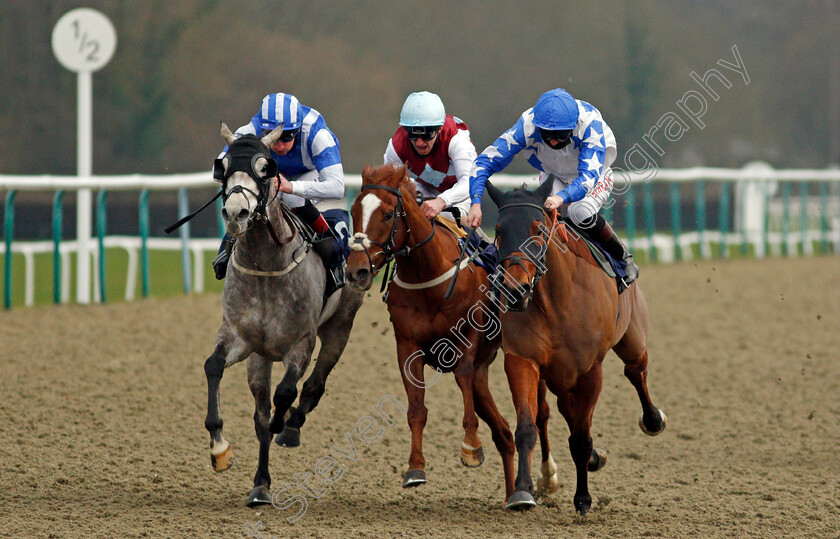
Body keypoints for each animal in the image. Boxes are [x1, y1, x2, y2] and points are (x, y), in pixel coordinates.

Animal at [203, 122, 364, 506]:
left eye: (266, 168)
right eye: (222, 166)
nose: (236, 213)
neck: (267, 267)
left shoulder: (301, 343)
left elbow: (287, 393)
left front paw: (284, 423)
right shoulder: (240, 338)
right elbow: (214, 367)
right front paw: (219, 448)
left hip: (340, 327)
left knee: (314, 386)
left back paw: (290, 428)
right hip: (260, 357)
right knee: (262, 411)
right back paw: (260, 484)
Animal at [344, 163, 520, 498]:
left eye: (388, 214)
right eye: (353, 211)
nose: (356, 271)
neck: (427, 275)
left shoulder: (465, 340)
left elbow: (462, 377)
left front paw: (471, 447)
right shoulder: (407, 346)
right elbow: (416, 408)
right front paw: (415, 467)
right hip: (483, 375)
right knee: (504, 432)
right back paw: (516, 496)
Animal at [482, 180, 668, 516]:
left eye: (539, 228)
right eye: (499, 230)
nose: (516, 291)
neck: (557, 301)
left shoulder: (589, 371)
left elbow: (581, 438)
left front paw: (583, 499)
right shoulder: (522, 359)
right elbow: (527, 427)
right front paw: (522, 491)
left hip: (632, 337)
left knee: (636, 372)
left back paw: (653, 420)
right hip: (557, 375)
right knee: (558, 412)